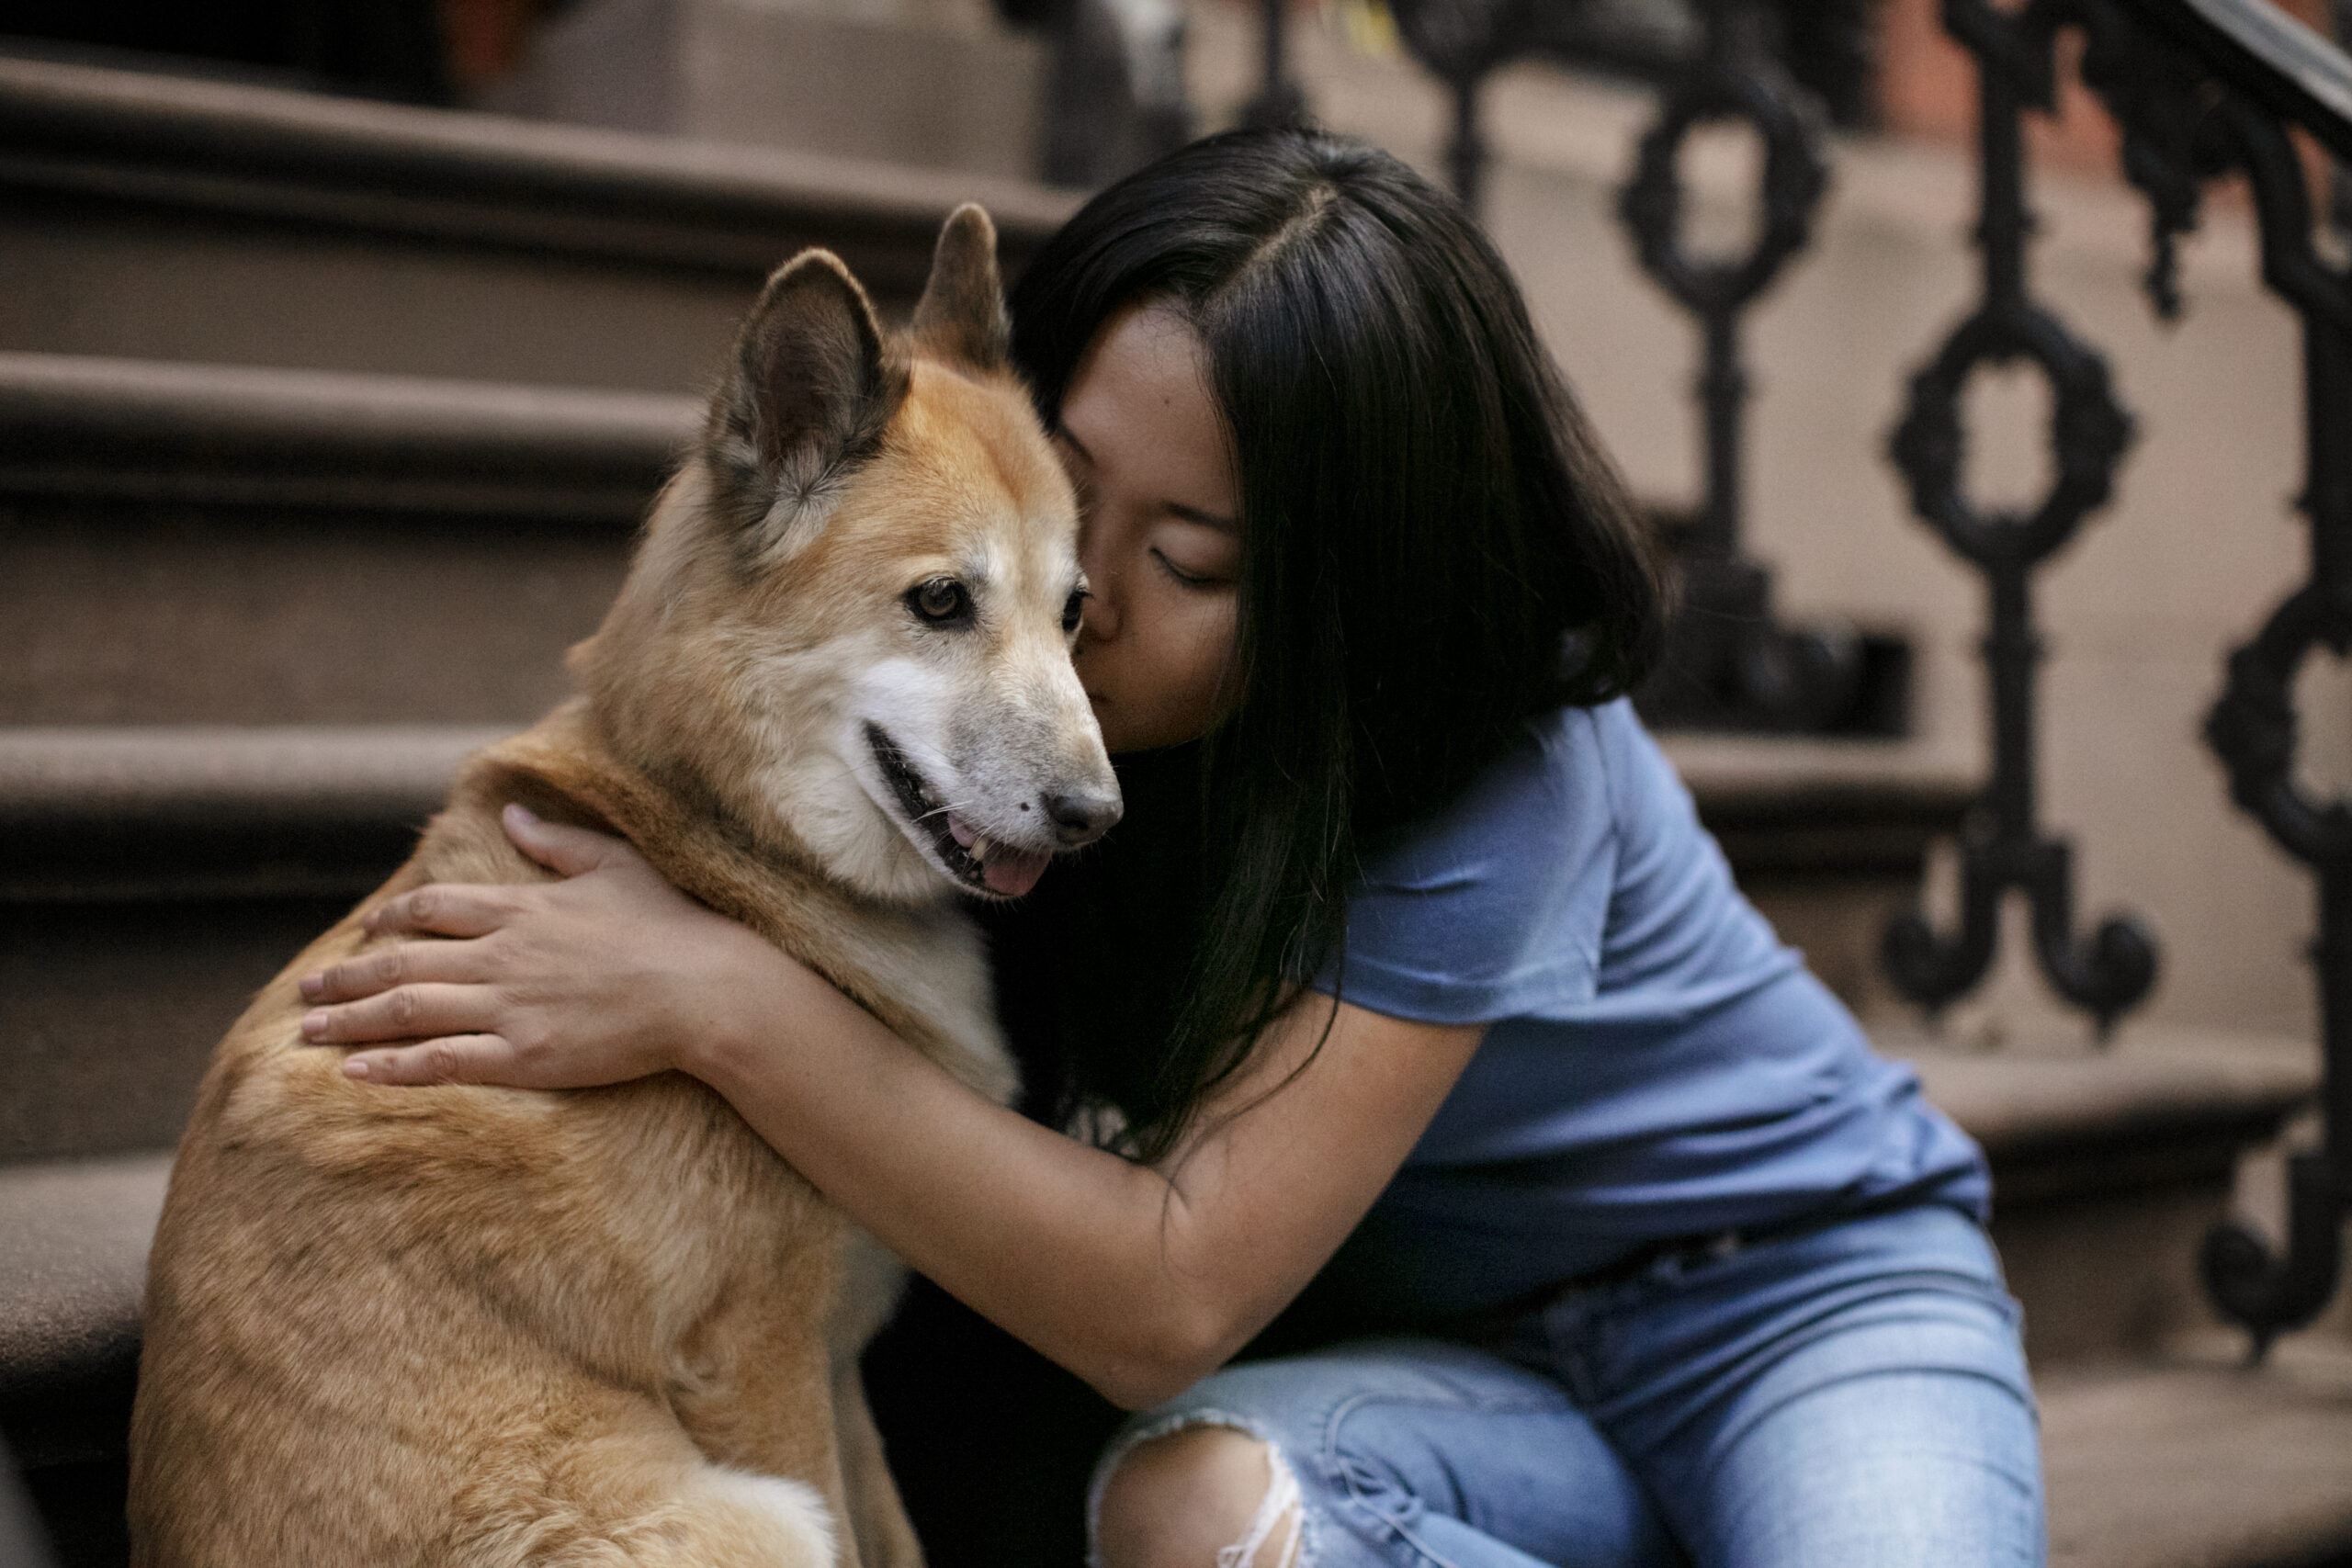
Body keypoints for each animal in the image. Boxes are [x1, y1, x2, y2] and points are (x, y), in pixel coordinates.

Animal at [129, 208, 1119, 1568]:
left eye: (1073, 610)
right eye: (940, 601)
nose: (1097, 816)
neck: (718, 841)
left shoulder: (837, 1369)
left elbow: (899, 1533)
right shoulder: (762, 1361)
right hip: (756, 1519)